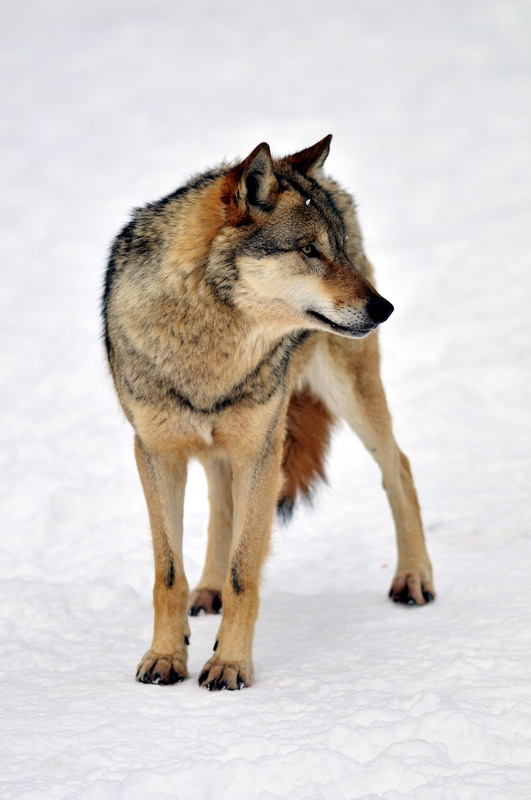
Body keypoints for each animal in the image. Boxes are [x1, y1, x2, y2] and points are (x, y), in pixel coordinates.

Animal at [103, 135, 435, 691]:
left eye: (338, 248)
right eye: (309, 250)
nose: (385, 308)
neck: (208, 348)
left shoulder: (262, 449)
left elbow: (245, 575)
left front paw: (230, 665)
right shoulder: (156, 452)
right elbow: (168, 574)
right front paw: (166, 657)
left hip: (348, 396)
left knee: (401, 467)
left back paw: (413, 578)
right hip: (224, 445)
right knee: (221, 505)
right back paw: (208, 591)